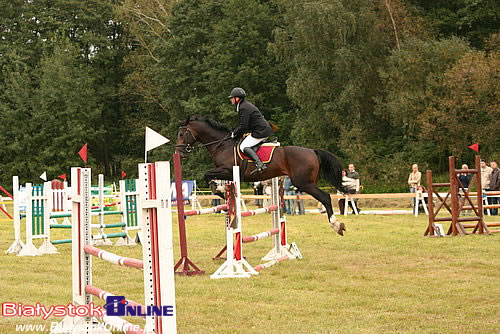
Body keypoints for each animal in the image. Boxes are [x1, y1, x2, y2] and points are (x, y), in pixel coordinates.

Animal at [177, 116, 348, 236]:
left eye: (181, 134)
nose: (180, 153)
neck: (222, 145)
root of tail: (313, 151)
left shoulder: (227, 170)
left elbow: (207, 175)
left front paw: (219, 190)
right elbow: (212, 179)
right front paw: (223, 193)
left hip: (304, 183)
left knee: (325, 197)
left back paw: (336, 225)